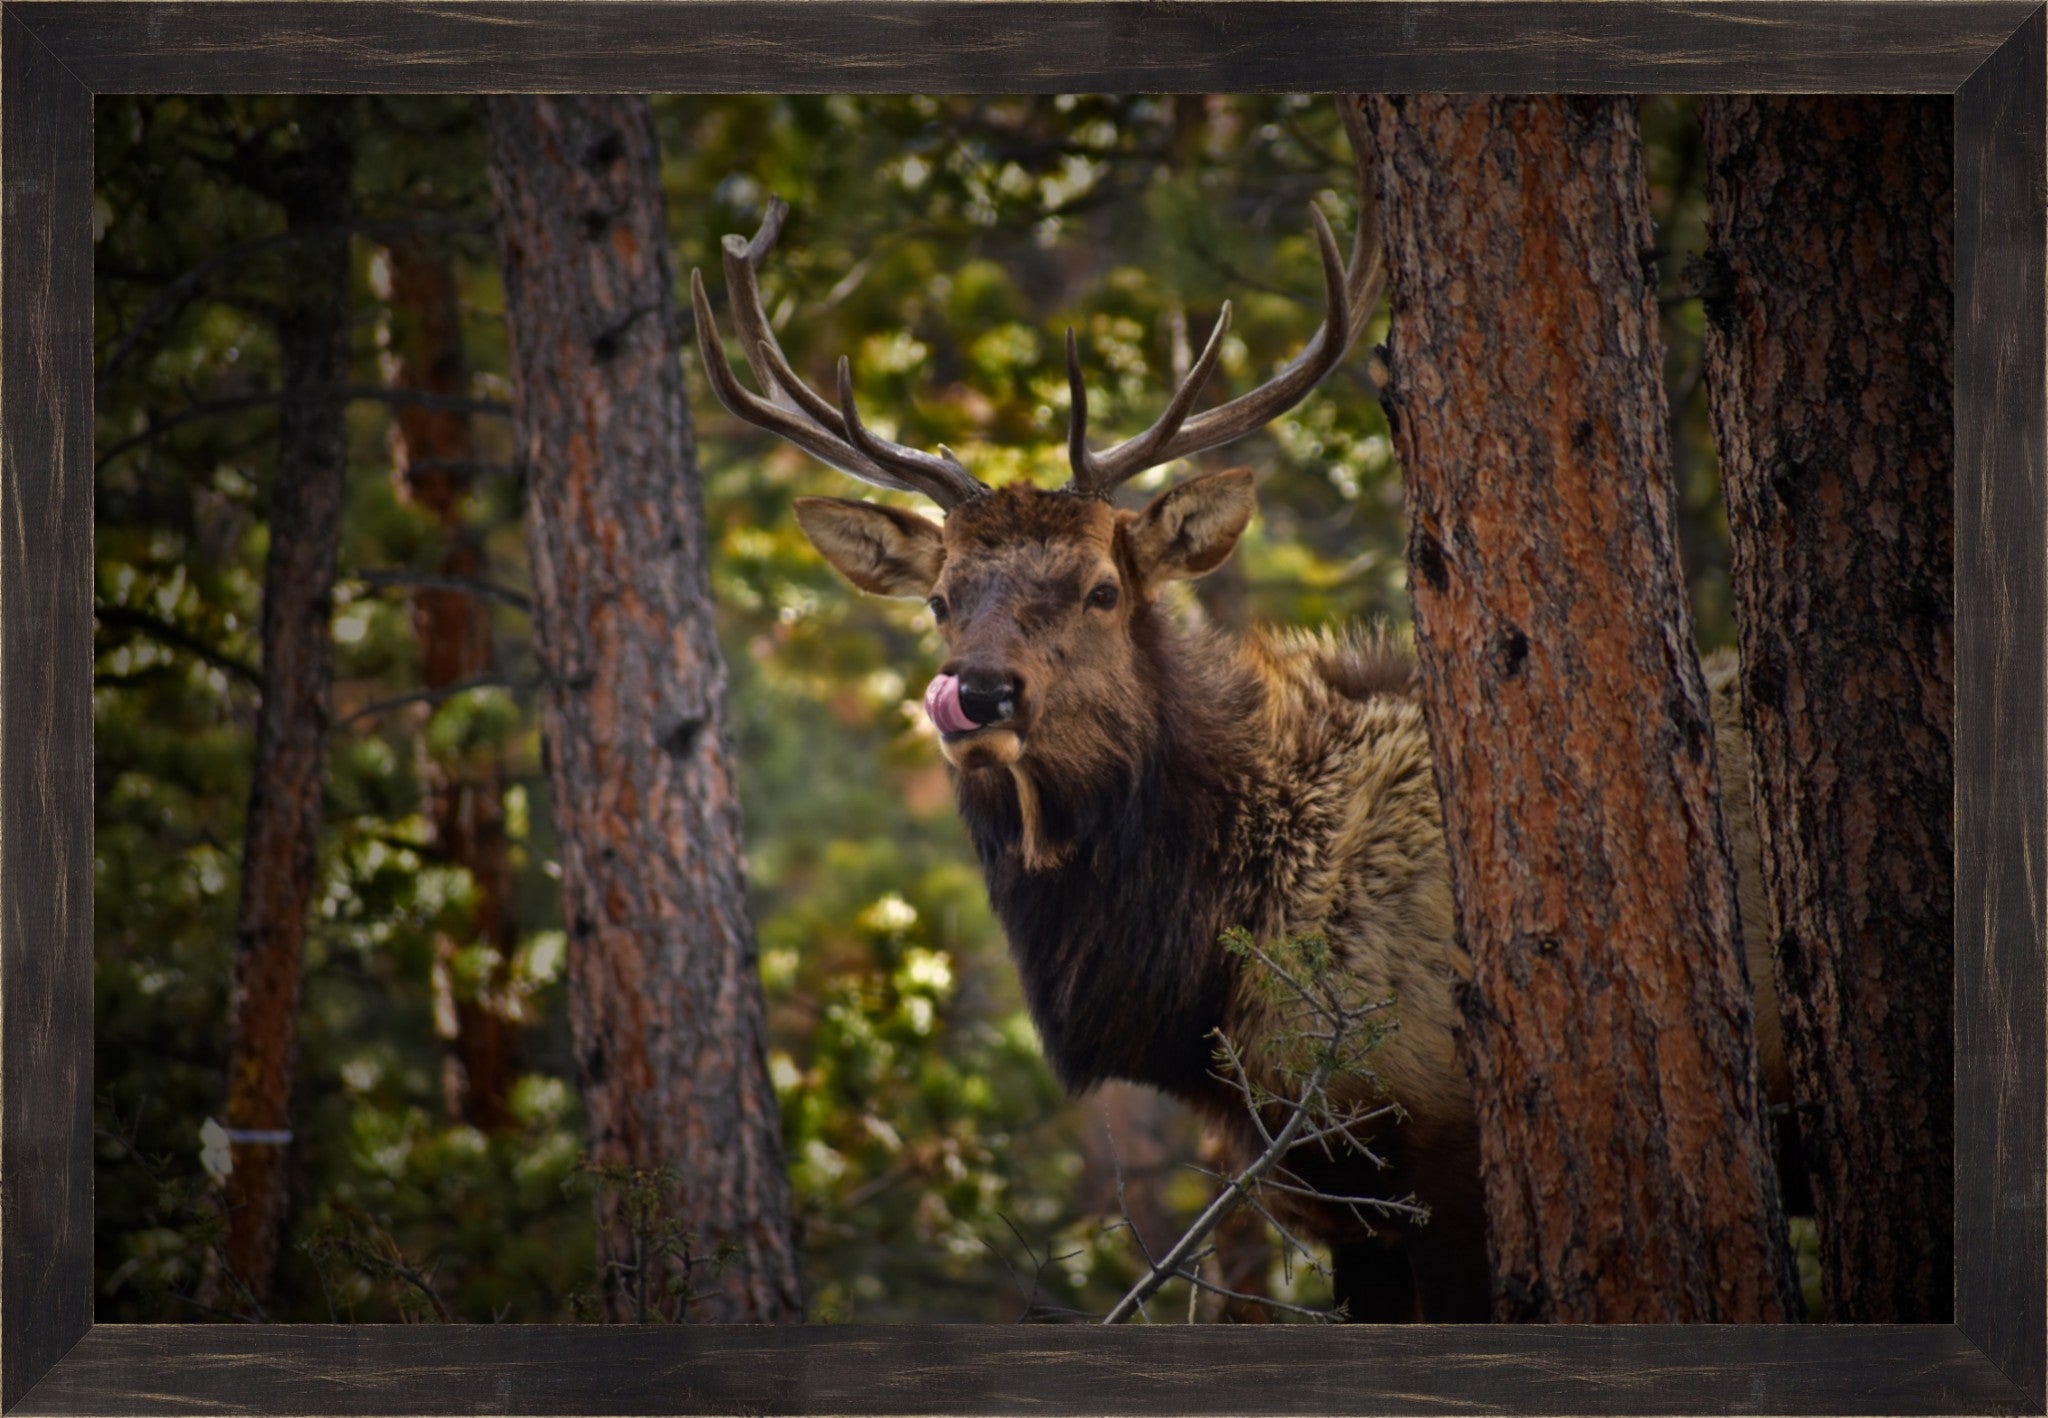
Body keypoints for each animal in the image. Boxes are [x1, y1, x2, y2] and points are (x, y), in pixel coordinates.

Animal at [689, 102, 1789, 1323]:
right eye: (939, 598)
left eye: (1102, 586)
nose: (976, 690)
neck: (1201, 985)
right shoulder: (1322, 1190)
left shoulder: (1437, 1145)